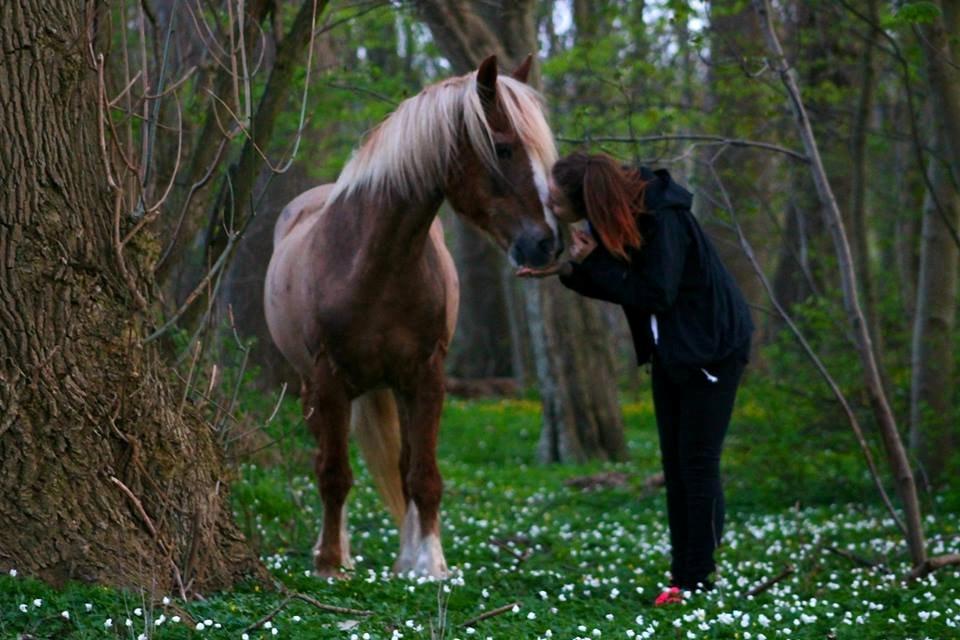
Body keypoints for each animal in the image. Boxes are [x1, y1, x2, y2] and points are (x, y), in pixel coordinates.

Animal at [264, 53, 564, 576]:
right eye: (504, 148)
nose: (546, 244)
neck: (371, 264)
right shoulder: (328, 379)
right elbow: (333, 473)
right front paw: (329, 562)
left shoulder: (425, 376)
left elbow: (421, 474)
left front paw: (427, 564)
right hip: (313, 391)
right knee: (328, 459)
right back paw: (338, 550)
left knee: (402, 464)